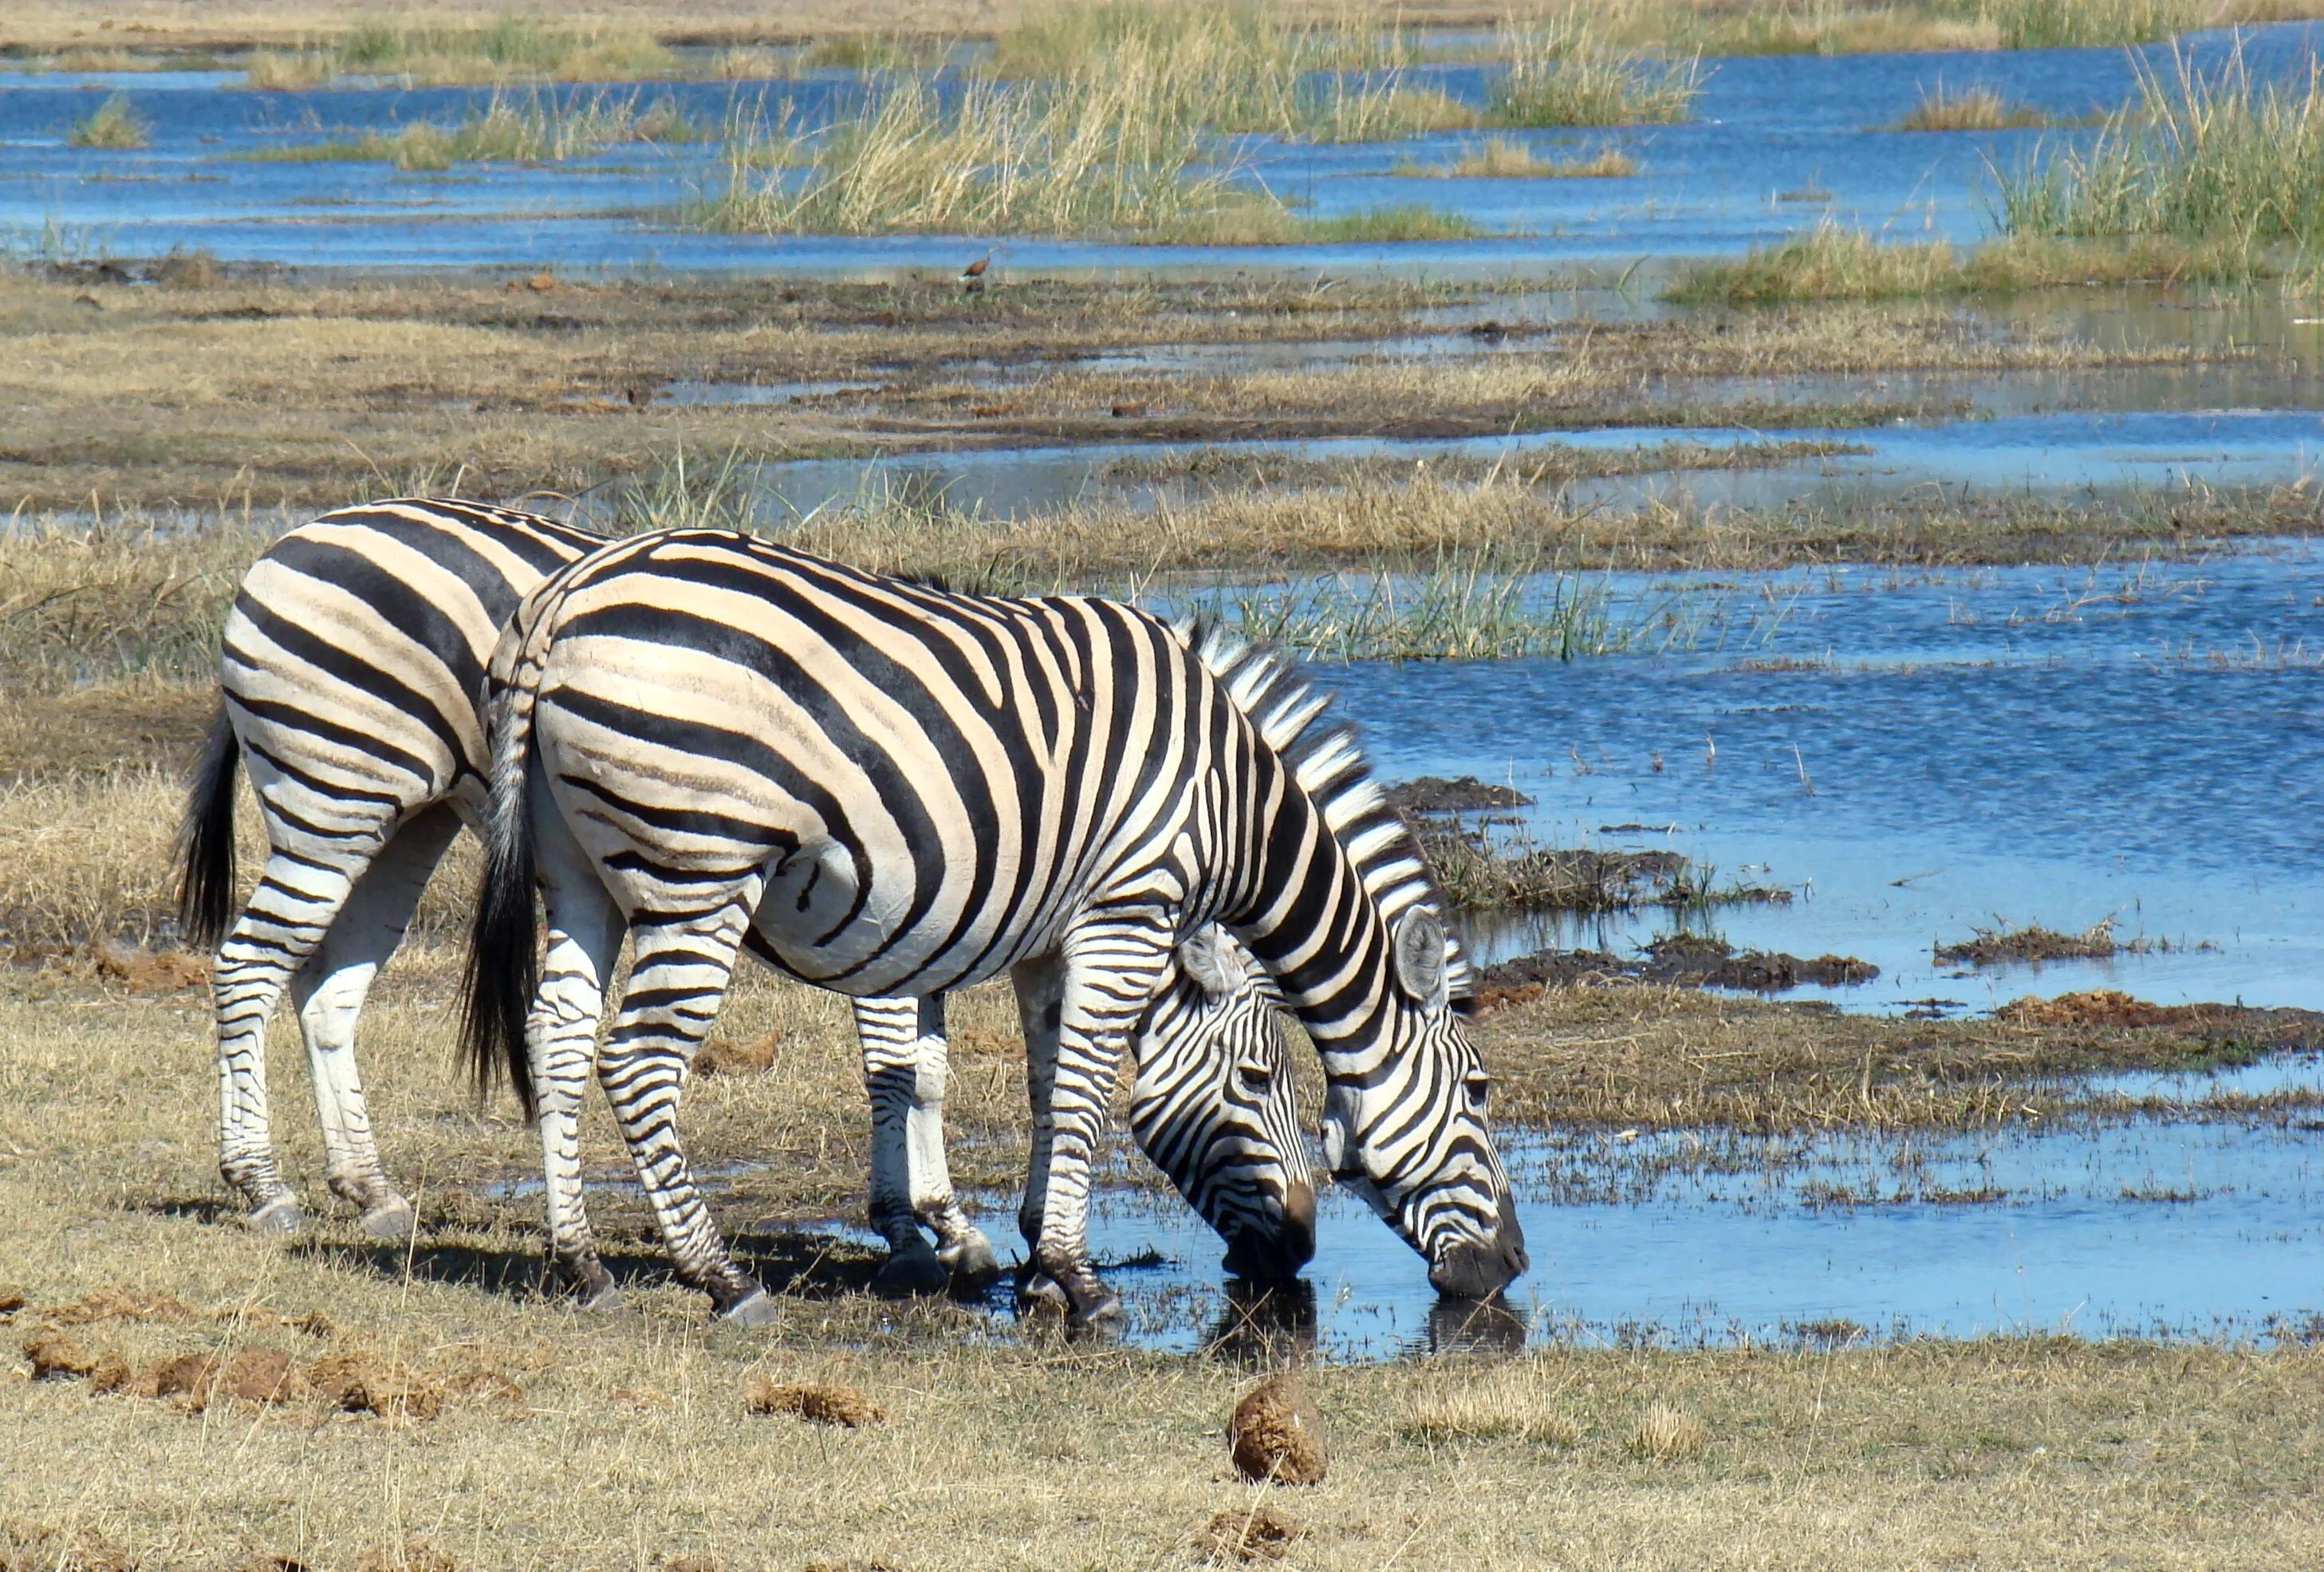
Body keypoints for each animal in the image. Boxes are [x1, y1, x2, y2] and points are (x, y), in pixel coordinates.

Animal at [174, 499, 1320, 1302]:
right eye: (1260, 1078)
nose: (1300, 1248)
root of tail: (295, 536)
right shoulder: (902, 901)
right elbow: (905, 1070)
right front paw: (924, 1229)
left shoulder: (946, 909)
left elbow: (931, 1067)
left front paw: (953, 1225)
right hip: (335, 789)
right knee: (251, 964)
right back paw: (263, 1185)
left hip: (404, 817)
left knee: (328, 983)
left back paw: (369, 1190)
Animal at [467, 527, 1524, 1330]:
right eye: (1476, 1092)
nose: (1511, 1266)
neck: (1235, 804)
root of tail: (567, 594)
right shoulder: (1125, 911)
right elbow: (1084, 1093)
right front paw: (1077, 1281)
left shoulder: (1053, 938)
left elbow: (1046, 1087)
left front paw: (1035, 1261)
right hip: (702, 867)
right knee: (637, 1061)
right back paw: (720, 1278)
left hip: (578, 870)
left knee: (557, 1040)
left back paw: (581, 1264)